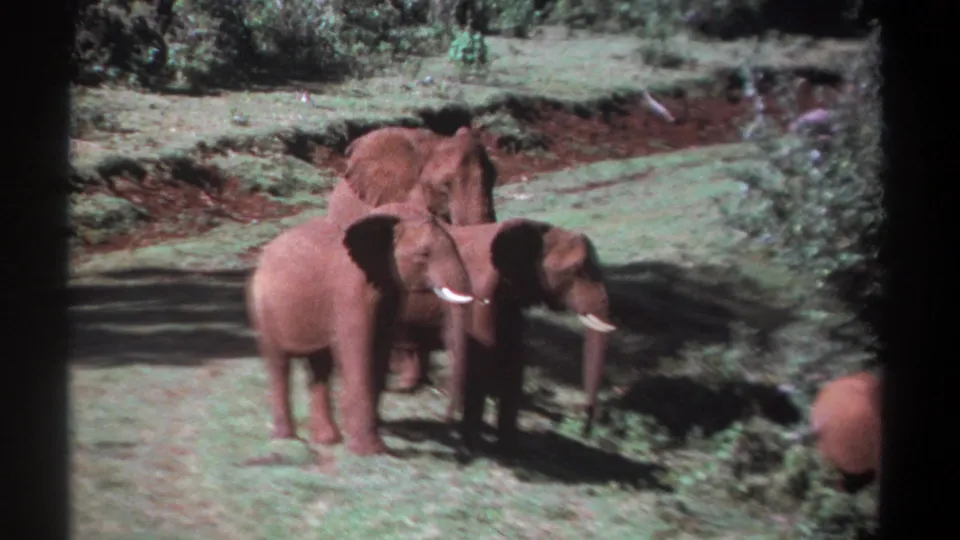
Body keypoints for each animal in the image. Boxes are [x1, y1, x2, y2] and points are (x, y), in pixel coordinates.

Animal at [246, 203, 476, 456]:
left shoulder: (388, 291)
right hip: (262, 307)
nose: (448, 420)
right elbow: (359, 352)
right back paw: (286, 439)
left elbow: (379, 352)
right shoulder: (351, 291)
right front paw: (369, 451)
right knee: (279, 363)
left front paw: (373, 446)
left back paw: (326, 440)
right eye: (424, 254)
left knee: (319, 365)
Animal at [387, 218, 617, 455]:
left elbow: (513, 364)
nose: (586, 430)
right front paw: (473, 446)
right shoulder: (480, 295)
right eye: (577, 270)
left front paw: (509, 450)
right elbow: (480, 365)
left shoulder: (508, 303)